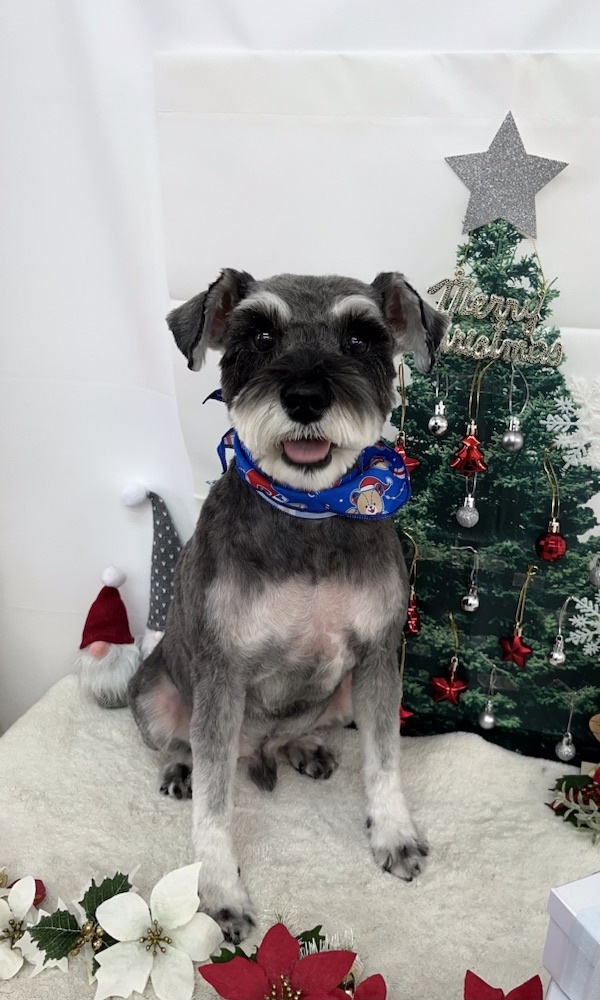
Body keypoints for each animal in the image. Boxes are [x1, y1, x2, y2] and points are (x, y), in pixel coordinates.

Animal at [129, 269, 448, 943]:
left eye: (361, 339)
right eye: (259, 335)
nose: (305, 397)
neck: (308, 513)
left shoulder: (379, 658)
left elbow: (385, 759)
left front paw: (394, 835)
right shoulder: (221, 676)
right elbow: (215, 807)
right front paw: (218, 893)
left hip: (344, 695)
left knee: (296, 729)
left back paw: (303, 747)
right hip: (153, 693)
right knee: (186, 746)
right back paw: (182, 768)